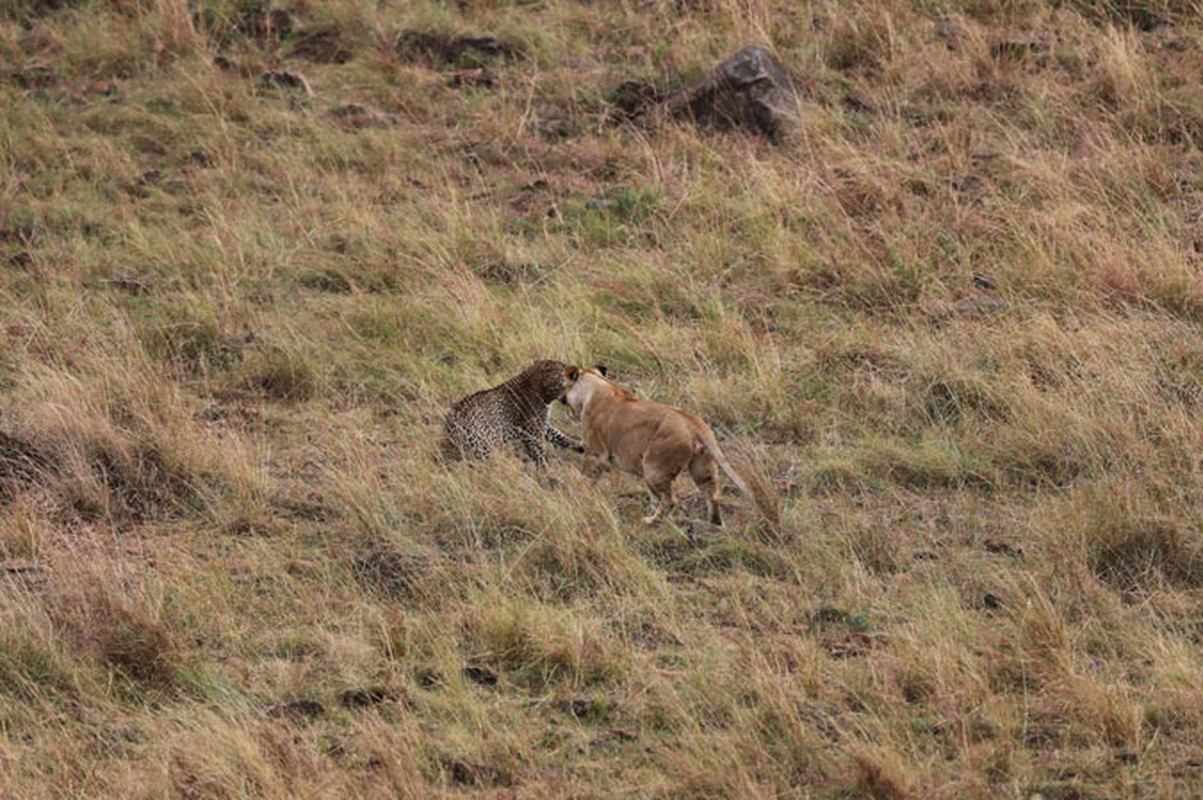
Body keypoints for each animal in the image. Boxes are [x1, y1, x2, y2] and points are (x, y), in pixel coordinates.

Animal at [442, 356, 596, 469]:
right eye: (568, 376)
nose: (577, 372)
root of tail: (450, 432)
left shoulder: (542, 426)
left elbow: (559, 436)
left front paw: (580, 446)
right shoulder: (533, 434)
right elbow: (540, 456)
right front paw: (549, 474)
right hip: (486, 443)